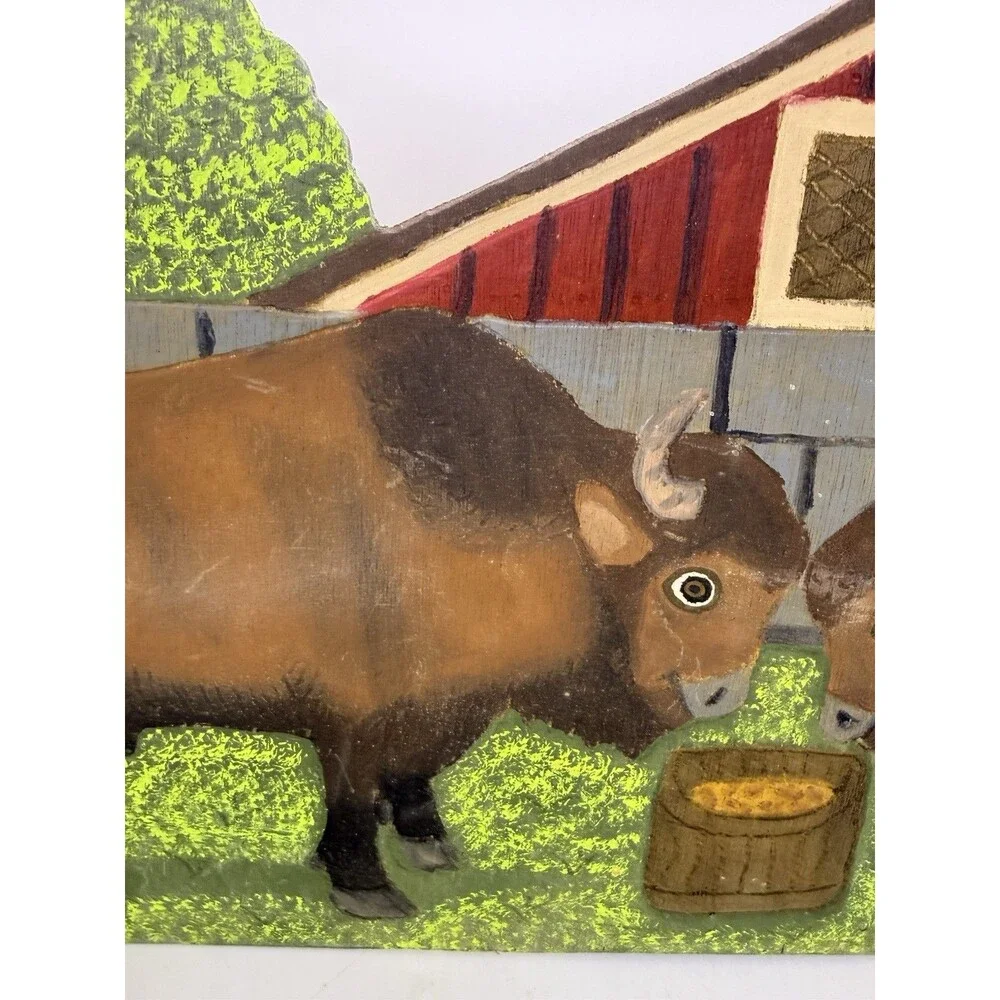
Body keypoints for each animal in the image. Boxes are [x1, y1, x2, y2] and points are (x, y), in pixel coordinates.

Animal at [126, 309, 810, 917]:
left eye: (779, 592)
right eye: (695, 586)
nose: (722, 694)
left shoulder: (444, 703)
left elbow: (412, 777)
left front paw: (430, 847)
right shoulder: (354, 718)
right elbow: (352, 799)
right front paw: (367, 891)